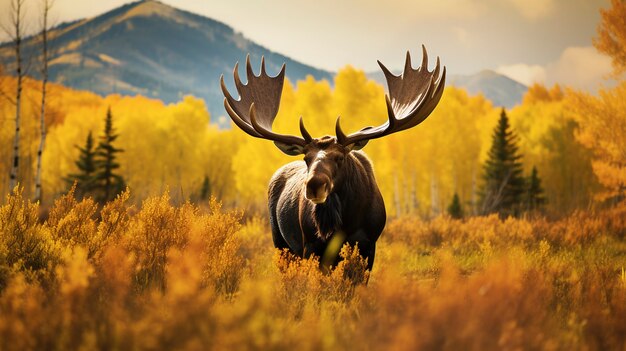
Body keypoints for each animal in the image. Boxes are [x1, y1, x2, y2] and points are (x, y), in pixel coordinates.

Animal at [219, 45, 444, 270]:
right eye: (306, 159)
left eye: (340, 157)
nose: (314, 185)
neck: (345, 223)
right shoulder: (310, 245)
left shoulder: (369, 245)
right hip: (280, 242)